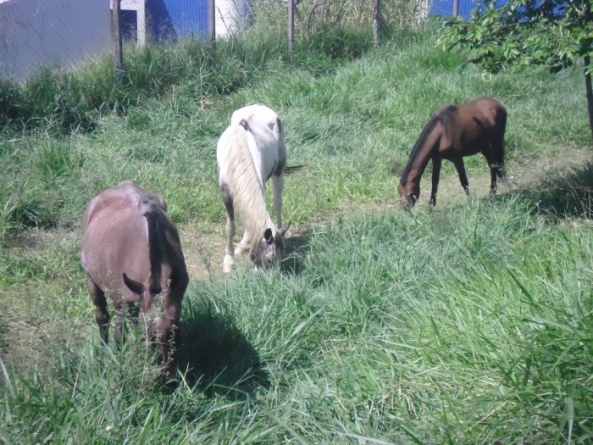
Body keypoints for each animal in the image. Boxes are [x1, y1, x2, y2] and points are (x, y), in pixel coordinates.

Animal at [80, 181, 187, 382]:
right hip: (92, 281)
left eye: (176, 327)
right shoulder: (121, 305)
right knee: (102, 318)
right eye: (149, 333)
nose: (169, 380)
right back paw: (102, 357)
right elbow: (119, 339)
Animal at [216, 104, 300, 272]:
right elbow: (230, 227)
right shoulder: (226, 193)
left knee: (277, 202)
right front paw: (228, 261)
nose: (274, 277)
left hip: (278, 171)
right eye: (269, 259)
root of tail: (260, 106)